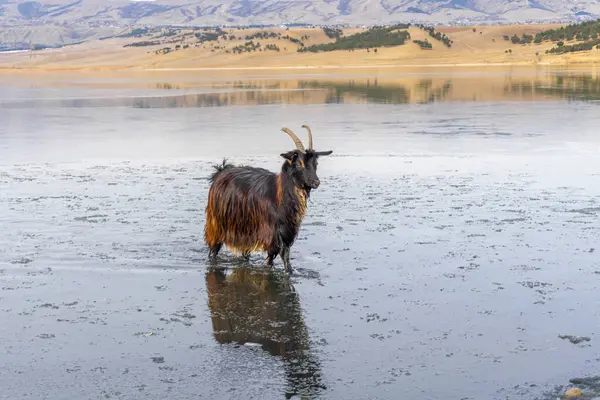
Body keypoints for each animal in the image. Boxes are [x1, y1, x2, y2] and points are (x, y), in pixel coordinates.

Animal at [204, 125, 330, 276]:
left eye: (315, 163)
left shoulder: (286, 233)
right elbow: (276, 258)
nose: (316, 182)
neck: (279, 197)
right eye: (299, 164)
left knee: (244, 253)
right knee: (213, 249)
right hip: (217, 224)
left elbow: (283, 256)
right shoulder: (272, 235)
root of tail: (220, 173)